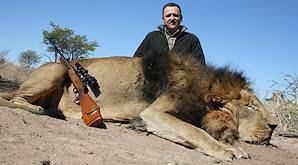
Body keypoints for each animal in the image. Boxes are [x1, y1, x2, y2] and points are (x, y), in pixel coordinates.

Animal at [0, 52, 278, 160]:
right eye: (251, 107)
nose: (275, 125)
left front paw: (236, 147)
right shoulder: (154, 112)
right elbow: (196, 131)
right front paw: (226, 150)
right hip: (55, 70)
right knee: (15, 99)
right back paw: (41, 110)